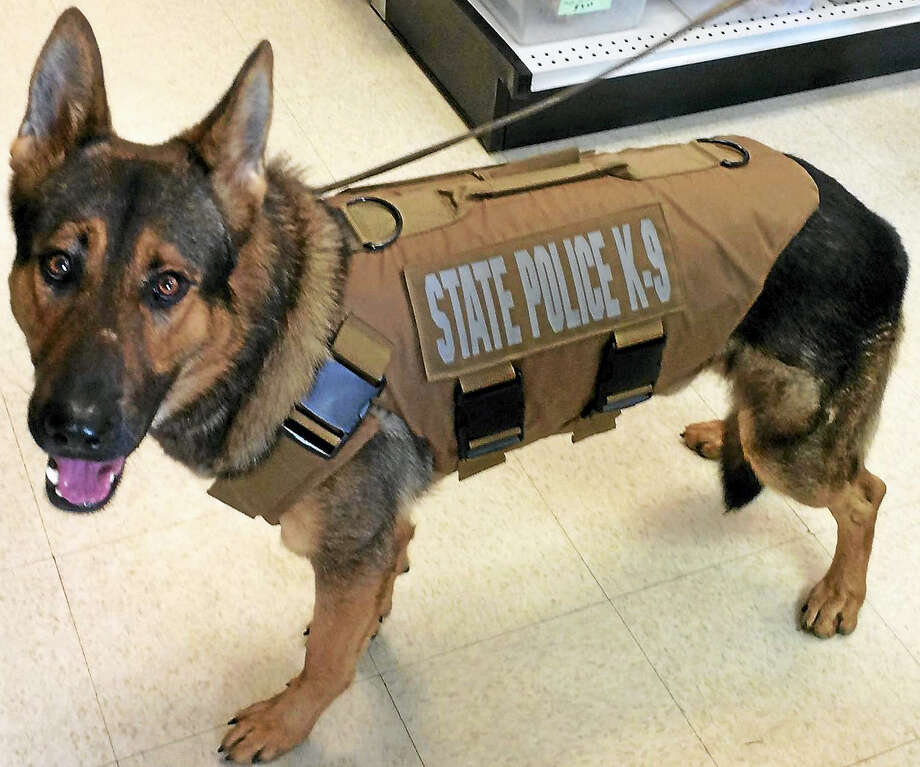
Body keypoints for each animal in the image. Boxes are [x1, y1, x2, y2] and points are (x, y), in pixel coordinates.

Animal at [10, 9, 908, 764]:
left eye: (167, 285)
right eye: (57, 266)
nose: (70, 427)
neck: (281, 327)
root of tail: (880, 225)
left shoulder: (351, 544)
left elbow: (326, 661)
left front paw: (287, 720)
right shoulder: (379, 531)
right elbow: (378, 587)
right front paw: (370, 626)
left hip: (795, 449)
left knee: (866, 491)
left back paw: (841, 590)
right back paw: (721, 432)